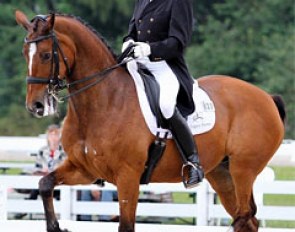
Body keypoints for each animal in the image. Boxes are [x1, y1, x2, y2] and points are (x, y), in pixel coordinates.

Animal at [16, 11, 286, 232]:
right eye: (24, 54)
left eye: (46, 55)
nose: (35, 105)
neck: (103, 101)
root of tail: (267, 97)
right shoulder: (84, 170)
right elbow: (45, 183)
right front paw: (56, 226)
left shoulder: (128, 177)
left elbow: (126, 226)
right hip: (222, 173)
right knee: (246, 221)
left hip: (243, 170)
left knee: (244, 217)